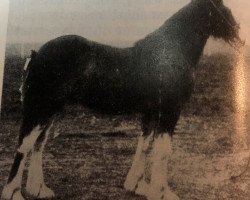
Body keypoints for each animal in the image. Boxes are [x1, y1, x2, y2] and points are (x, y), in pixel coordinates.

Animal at [0, 0, 241, 200]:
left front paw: (137, 186)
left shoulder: (151, 111)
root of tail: (37, 54)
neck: (170, 51)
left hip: (50, 110)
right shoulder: (170, 110)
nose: (238, 31)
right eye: (223, 7)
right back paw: (14, 193)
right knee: (25, 145)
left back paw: (39, 189)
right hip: (41, 108)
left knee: (38, 145)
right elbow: (163, 151)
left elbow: (145, 146)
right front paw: (162, 192)